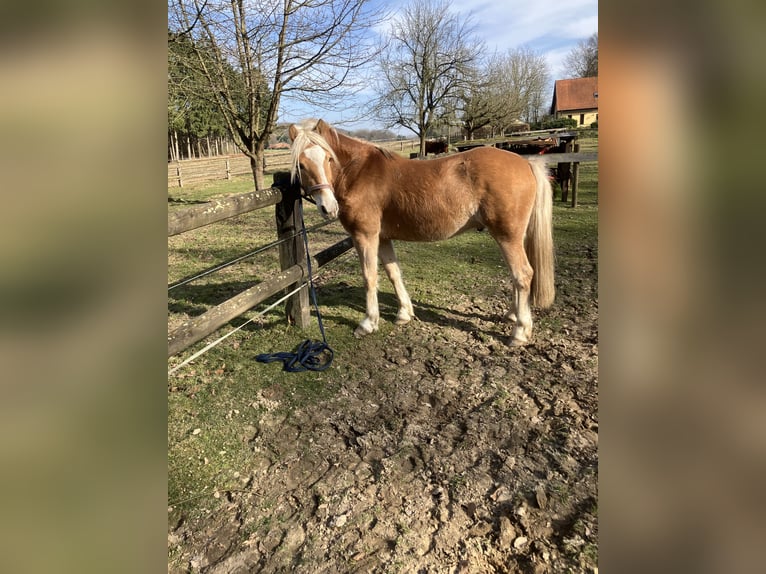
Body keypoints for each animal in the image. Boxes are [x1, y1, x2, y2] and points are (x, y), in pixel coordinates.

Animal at [288, 119, 555, 345]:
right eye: (301, 164)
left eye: (328, 159)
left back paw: (519, 332)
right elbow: (394, 273)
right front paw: (404, 313)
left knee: (522, 275)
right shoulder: (382, 238)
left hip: (507, 236)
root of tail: (526, 163)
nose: (328, 207)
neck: (359, 172)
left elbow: (369, 277)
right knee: (517, 276)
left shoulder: (365, 236)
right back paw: (513, 315)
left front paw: (368, 323)